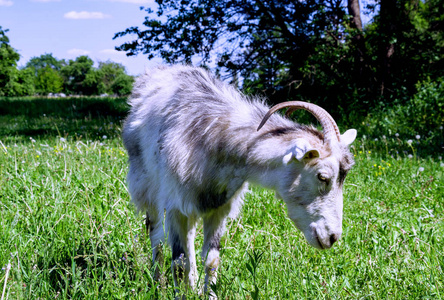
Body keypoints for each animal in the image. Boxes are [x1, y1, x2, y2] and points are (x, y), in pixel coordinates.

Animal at [121, 64, 358, 296]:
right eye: (322, 176)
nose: (333, 237)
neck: (219, 140)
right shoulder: (174, 205)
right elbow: (178, 263)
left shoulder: (218, 207)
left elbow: (212, 260)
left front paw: (207, 292)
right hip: (146, 186)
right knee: (156, 235)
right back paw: (158, 284)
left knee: (188, 237)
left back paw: (193, 284)